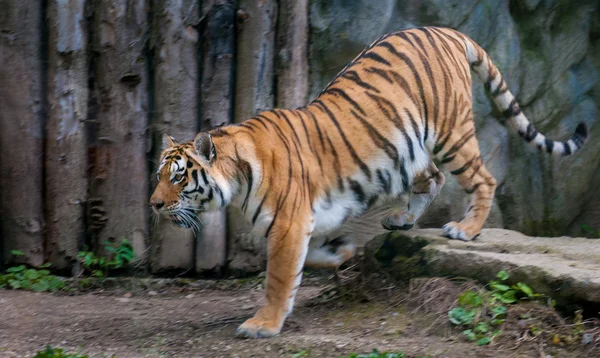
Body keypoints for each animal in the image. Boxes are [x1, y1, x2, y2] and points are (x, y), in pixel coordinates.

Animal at [149, 26, 584, 338]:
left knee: (482, 178)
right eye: (158, 176)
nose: (154, 204)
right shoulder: (305, 221)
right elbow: (313, 257)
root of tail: (445, 30)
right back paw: (403, 220)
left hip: (451, 133)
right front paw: (341, 251)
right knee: (433, 177)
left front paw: (263, 324)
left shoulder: (289, 223)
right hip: (408, 151)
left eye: (179, 177)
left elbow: (278, 277)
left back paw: (466, 228)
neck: (238, 181)